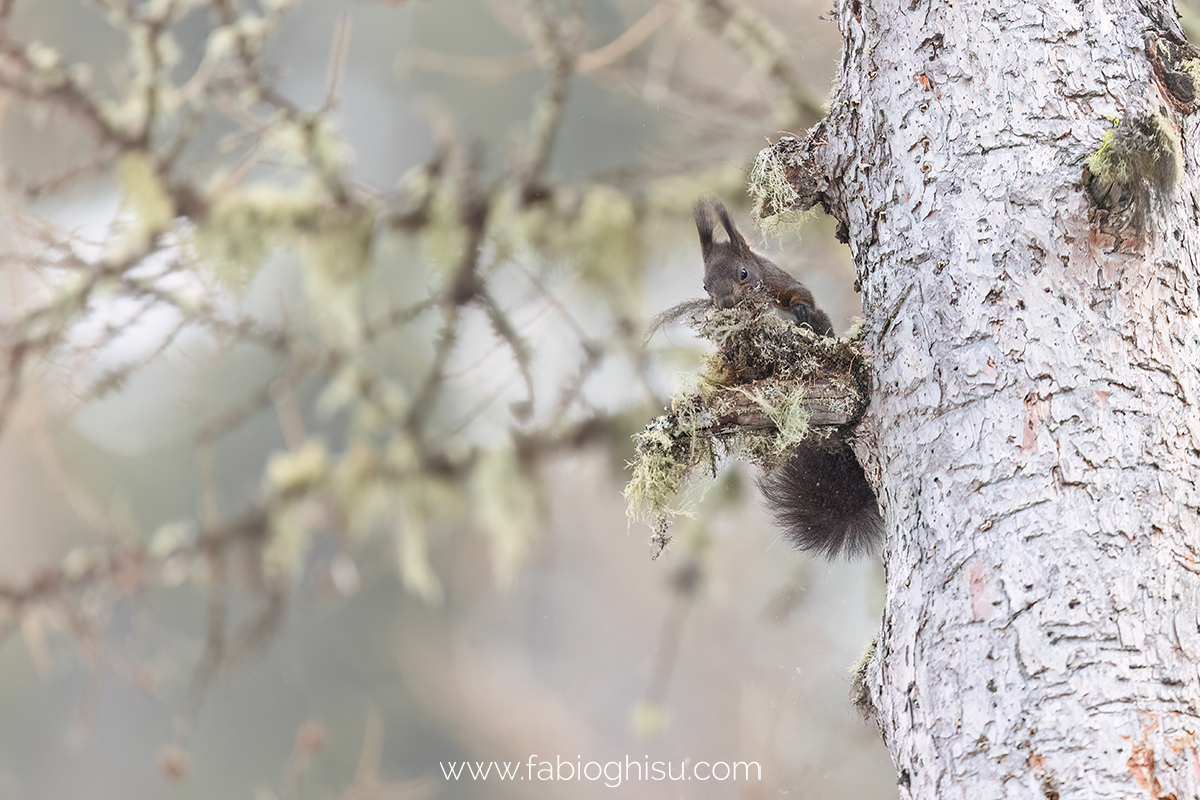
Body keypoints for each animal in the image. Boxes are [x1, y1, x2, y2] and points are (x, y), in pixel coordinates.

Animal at [696, 196, 883, 561]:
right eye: (705, 285)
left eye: (743, 273)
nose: (725, 303)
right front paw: (728, 351)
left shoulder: (779, 280)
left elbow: (801, 294)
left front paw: (799, 310)